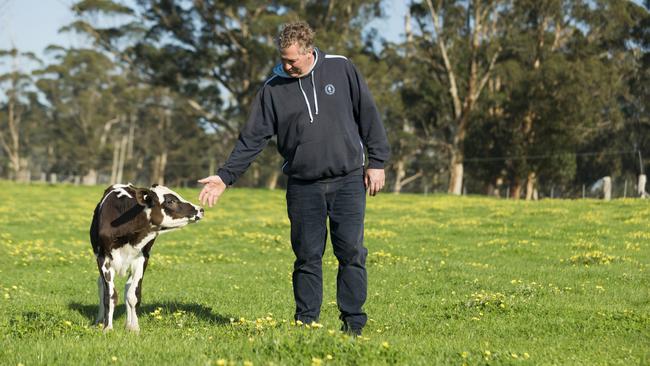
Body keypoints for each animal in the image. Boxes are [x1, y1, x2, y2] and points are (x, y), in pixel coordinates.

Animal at [87, 183, 201, 332]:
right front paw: (107, 328)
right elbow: (110, 296)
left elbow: (133, 295)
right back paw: (100, 320)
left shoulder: (142, 258)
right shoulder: (102, 258)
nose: (200, 209)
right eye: (170, 201)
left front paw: (134, 328)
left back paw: (128, 323)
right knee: (101, 286)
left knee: (127, 288)